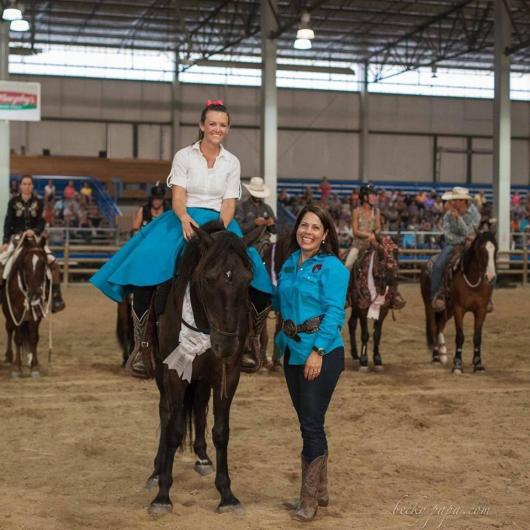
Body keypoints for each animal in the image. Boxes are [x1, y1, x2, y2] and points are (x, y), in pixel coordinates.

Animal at [1, 235, 50, 376]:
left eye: (43, 263)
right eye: (24, 263)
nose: (34, 293)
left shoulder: (37, 310)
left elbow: (33, 337)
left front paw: (33, 366)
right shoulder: (15, 311)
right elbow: (18, 338)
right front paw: (18, 367)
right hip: (7, 311)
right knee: (9, 329)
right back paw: (9, 357)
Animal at [144, 221, 252, 512]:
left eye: (248, 279)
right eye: (208, 279)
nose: (225, 345)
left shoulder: (228, 374)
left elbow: (221, 432)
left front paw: (227, 494)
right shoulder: (173, 372)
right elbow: (173, 429)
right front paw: (162, 495)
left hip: (202, 376)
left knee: (200, 405)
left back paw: (202, 457)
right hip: (162, 371)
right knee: (165, 412)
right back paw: (156, 471)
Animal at [346, 235, 396, 372]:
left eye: (396, 252)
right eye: (381, 254)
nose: (392, 279)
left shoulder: (383, 309)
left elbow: (377, 334)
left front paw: (378, 360)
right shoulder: (362, 307)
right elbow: (365, 334)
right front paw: (364, 361)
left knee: (351, 323)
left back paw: (354, 354)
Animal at [418, 230, 498, 372]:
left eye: (495, 250)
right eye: (481, 249)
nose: (491, 277)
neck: (472, 280)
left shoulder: (481, 310)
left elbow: (477, 337)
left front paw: (478, 364)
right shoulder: (459, 309)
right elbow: (460, 336)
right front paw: (457, 365)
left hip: (448, 309)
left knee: (440, 325)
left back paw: (443, 354)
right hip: (430, 306)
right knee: (433, 327)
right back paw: (436, 357)